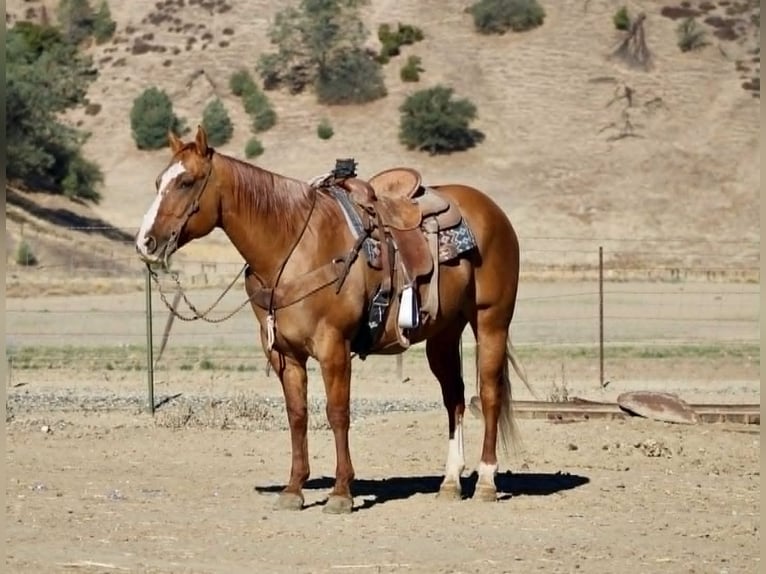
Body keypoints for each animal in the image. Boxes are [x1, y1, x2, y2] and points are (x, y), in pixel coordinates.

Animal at [135, 126, 529, 514]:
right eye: (157, 182)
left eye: (186, 182)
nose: (146, 243)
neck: (294, 247)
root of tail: (494, 212)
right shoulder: (284, 354)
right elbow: (297, 414)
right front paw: (294, 489)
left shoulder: (333, 347)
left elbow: (337, 413)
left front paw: (341, 492)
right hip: (444, 334)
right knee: (455, 398)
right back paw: (449, 483)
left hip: (491, 322)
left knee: (489, 394)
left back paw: (486, 482)